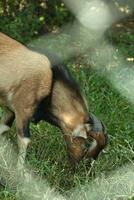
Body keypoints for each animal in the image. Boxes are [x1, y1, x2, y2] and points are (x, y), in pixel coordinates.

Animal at [0, 32, 107, 170]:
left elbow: (3, 127)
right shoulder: (23, 109)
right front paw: (19, 170)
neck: (52, 82)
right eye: (87, 144)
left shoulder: (11, 109)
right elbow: (24, 139)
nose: (80, 169)